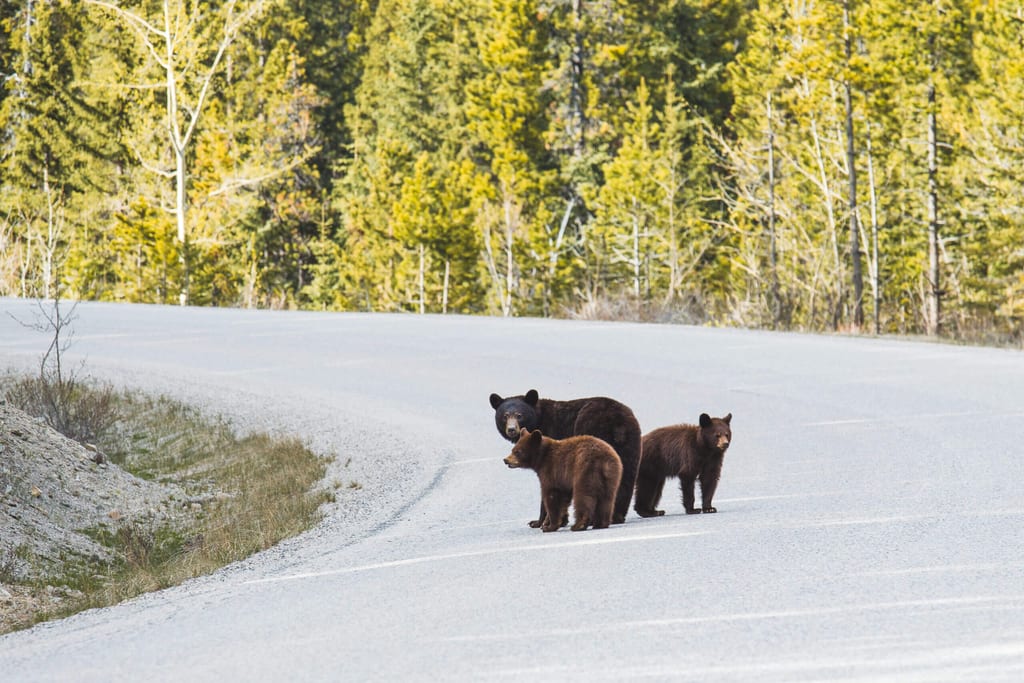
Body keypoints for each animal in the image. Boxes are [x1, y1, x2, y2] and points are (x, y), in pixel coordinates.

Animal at [489, 389, 641, 527]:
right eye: (505, 416)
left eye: (519, 415)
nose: (512, 429)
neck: (539, 420)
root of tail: (618, 425)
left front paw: (539, 522)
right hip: (630, 444)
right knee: (625, 479)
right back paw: (616, 516)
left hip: (592, 429)